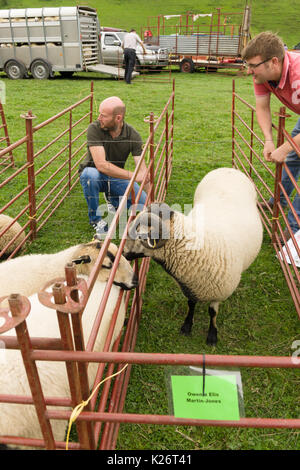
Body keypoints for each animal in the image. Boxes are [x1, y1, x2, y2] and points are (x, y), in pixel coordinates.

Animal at [123, 168, 262, 346]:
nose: (123, 252)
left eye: (140, 235)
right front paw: (187, 326)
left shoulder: (218, 293)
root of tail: (228, 169)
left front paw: (212, 335)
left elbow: (212, 313)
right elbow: (191, 305)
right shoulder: (189, 286)